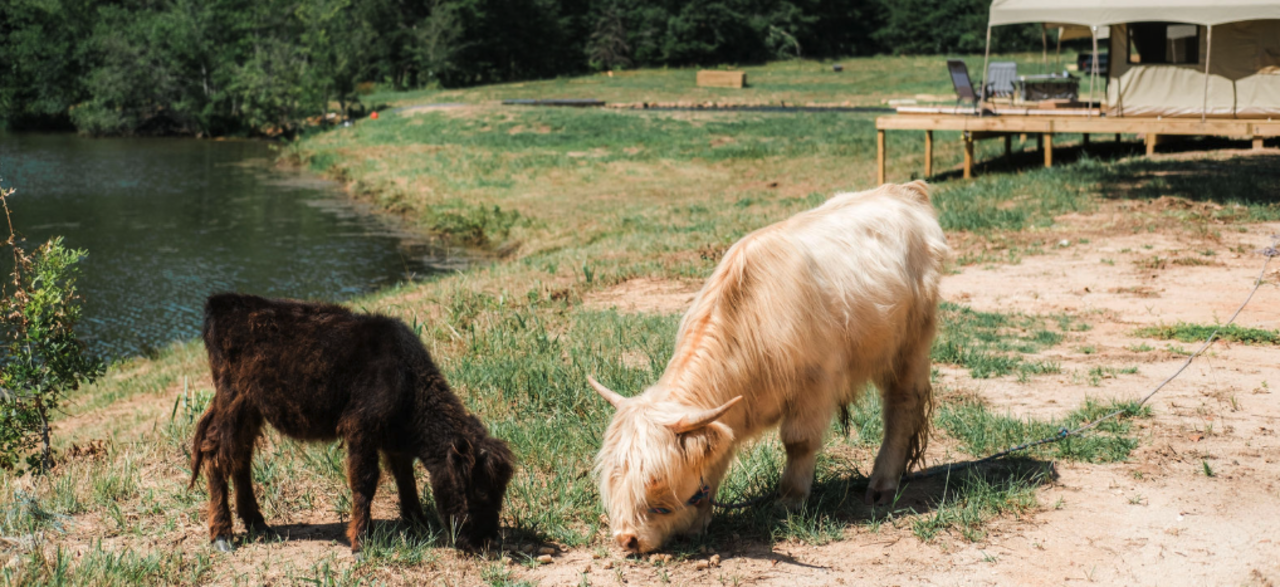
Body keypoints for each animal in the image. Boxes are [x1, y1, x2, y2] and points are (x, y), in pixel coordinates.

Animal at [190, 293, 514, 555]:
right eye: (478, 490)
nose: (485, 542)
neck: (406, 377)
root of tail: (221, 303)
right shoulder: (361, 430)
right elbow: (365, 482)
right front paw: (360, 543)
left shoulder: (393, 440)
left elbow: (404, 478)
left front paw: (418, 525)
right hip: (235, 404)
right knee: (216, 456)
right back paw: (222, 538)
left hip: (250, 412)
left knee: (239, 459)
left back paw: (259, 525)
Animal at [591, 181, 949, 553]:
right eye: (612, 477)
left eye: (657, 482)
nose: (627, 538)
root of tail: (903, 190)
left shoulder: (815, 385)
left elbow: (799, 442)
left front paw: (789, 501)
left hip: (910, 345)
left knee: (901, 406)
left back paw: (882, 484)